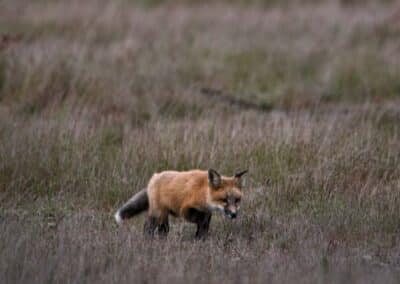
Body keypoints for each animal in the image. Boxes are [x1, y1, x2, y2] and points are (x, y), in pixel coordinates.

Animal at [114, 168, 248, 239]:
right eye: (224, 200)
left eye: (237, 200)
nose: (234, 215)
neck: (203, 192)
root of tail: (154, 176)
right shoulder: (186, 209)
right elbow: (199, 221)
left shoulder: (207, 213)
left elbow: (203, 228)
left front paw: (201, 240)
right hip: (158, 214)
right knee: (148, 227)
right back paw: (148, 241)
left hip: (163, 218)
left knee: (163, 230)